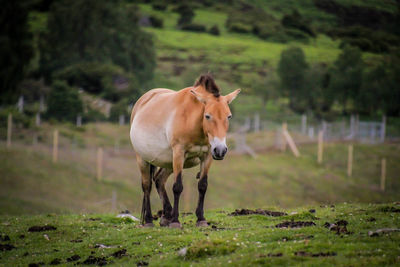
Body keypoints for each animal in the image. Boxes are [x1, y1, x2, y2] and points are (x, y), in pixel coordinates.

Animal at [130, 74, 241, 229]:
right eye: (207, 116)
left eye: (229, 116)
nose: (220, 150)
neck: (191, 120)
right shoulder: (179, 153)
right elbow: (177, 187)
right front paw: (175, 221)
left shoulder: (207, 156)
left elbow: (202, 186)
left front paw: (201, 219)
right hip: (143, 159)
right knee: (147, 186)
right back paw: (149, 221)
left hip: (168, 163)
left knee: (159, 180)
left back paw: (166, 216)